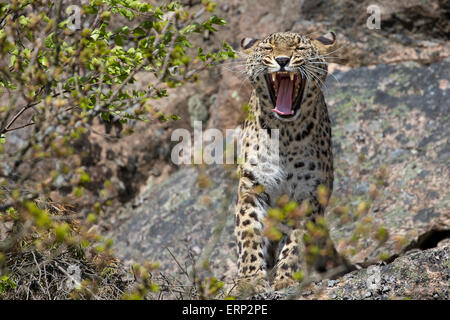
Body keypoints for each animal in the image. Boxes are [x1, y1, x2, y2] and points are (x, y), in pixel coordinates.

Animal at [234, 30, 350, 292]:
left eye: (299, 48)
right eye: (268, 48)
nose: (283, 60)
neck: (284, 135)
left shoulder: (308, 196)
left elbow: (296, 242)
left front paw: (286, 278)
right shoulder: (251, 188)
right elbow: (248, 233)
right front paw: (249, 278)